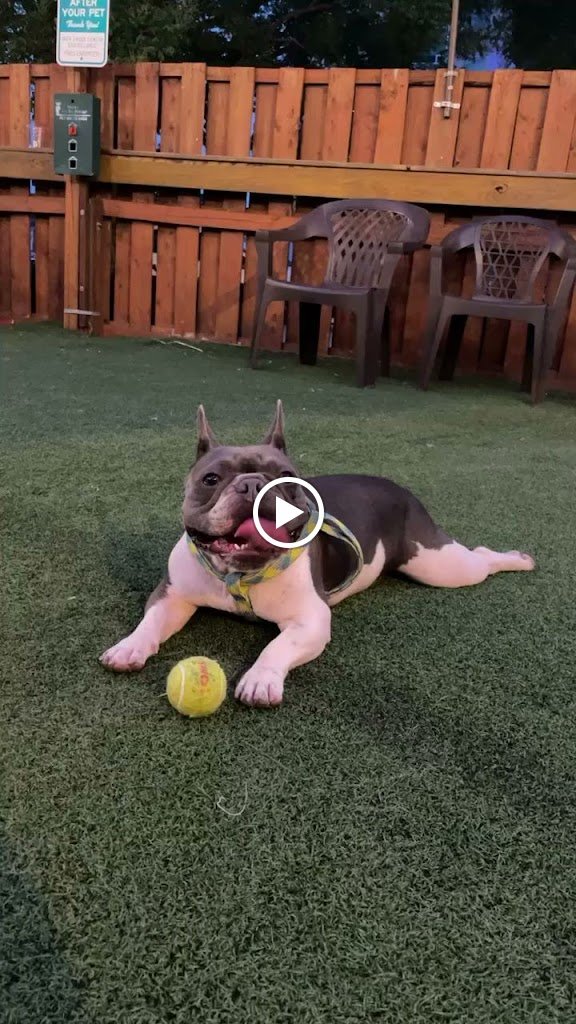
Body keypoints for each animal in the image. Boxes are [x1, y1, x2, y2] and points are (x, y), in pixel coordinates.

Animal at [100, 401, 535, 706]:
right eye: (211, 479)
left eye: (286, 479)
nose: (253, 484)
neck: (240, 574)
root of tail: (400, 489)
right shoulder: (173, 595)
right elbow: (152, 622)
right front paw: (130, 646)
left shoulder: (311, 619)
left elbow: (277, 646)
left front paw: (261, 679)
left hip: (440, 565)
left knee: (479, 558)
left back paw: (517, 558)